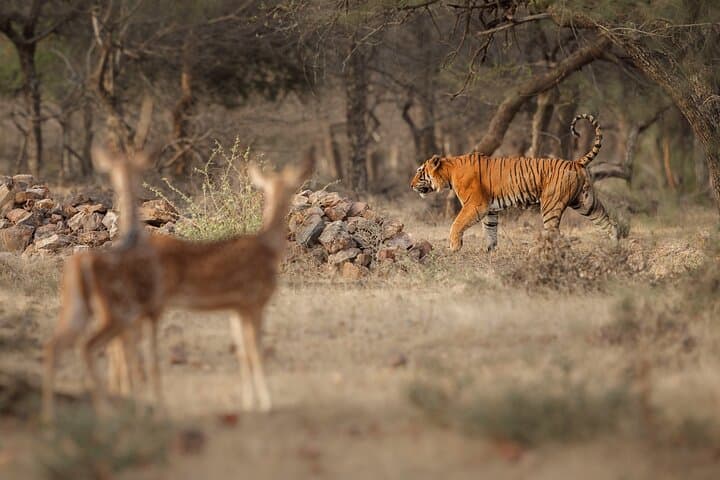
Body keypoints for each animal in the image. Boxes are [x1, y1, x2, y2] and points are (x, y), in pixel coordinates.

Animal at [410, 114, 623, 252]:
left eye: (420, 172)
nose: (411, 185)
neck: (450, 171)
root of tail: (575, 162)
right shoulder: (490, 209)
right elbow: (490, 231)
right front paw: (490, 252)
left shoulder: (475, 205)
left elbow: (456, 224)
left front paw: (454, 247)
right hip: (586, 202)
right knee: (608, 223)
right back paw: (614, 248)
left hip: (551, 205)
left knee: (555, 233)